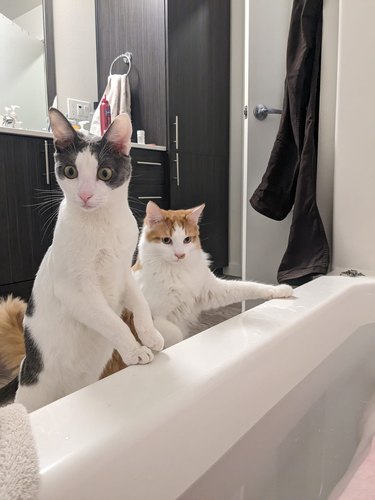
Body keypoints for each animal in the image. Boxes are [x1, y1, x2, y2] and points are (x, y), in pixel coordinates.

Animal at [4, 108, 163, 410]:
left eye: (104, 173)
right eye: (70, 172)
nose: (86, 195)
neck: (101, 224)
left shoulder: (123, 271)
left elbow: (139, 302)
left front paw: (150, 334)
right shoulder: (75, 291)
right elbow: (111, 321)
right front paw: (135, 350)